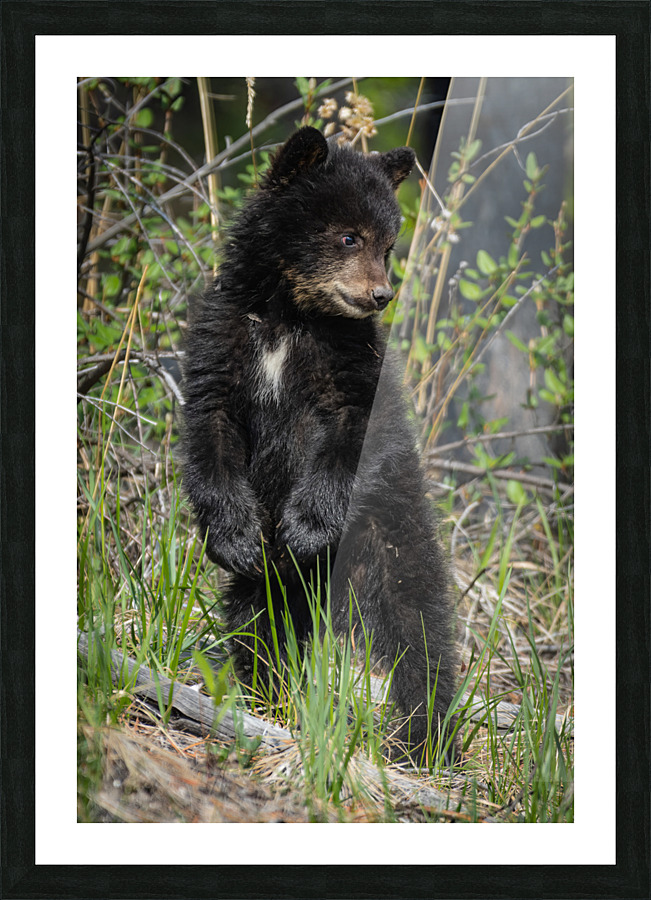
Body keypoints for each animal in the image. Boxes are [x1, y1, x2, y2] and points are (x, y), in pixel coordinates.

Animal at [182, 126, 459, 762]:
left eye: (388, 244)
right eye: (348, 235)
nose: (381, 294)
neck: (291, 315)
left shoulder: (354, 366)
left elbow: (350, 436)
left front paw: (307, 526)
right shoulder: (224, 341)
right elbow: (211, 427)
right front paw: (232, 535)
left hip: (392, 539)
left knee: (420, 630)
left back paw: (424, 733)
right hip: (271, 590)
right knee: (258, 622)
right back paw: (267, 695)